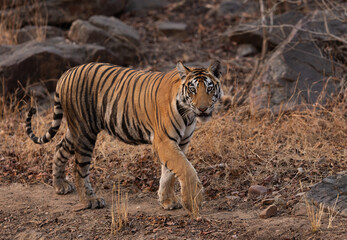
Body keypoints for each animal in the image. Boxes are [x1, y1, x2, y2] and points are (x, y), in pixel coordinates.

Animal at [26, 61, 223, 213]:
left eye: (209, 88)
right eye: (192, 89)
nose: (203, 109)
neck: (188, 114)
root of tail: (66, 73)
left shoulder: (181, 143)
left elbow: (169, 173)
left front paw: (167, 201)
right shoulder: (164, 142)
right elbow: (185, 168)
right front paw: (193, 200)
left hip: (76, 129)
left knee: (59, 148)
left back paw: (60, 185)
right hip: (84, 133)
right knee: (79, 169)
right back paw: (90, 201)